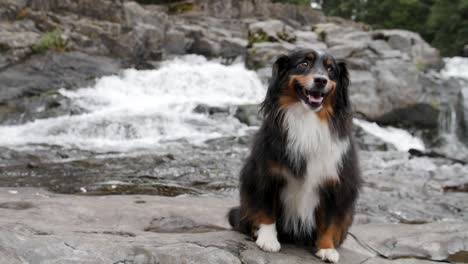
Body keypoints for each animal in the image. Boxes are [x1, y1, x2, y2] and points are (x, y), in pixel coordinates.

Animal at [229, 49, 360, 262]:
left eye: (331, 69)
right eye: (304, 64)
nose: (321, 80)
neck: (308, 118)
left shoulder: (335, 182)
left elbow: (329, 220)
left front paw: (326, 248)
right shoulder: (266, 174)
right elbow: (266, 209)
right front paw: (268, 239)